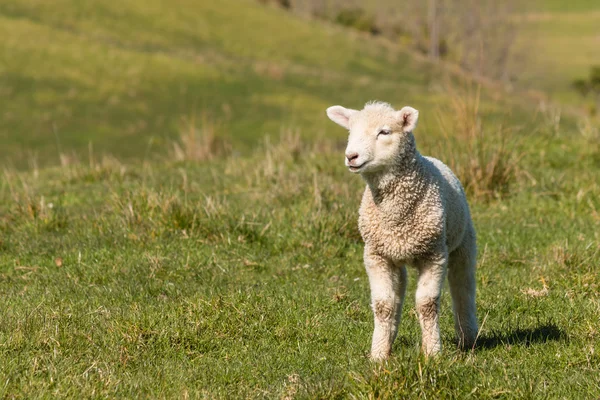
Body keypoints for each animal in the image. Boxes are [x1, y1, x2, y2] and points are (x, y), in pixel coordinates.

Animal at [326, 101, 480, 360]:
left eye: (384, 132)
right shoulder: (376, 256)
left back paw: (468, 337)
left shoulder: (434, 255)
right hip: (395, 258)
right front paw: (378, 354)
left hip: (463, 244)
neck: (395, 216)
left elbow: (427, 305)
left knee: (463, 287)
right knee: (397, 296)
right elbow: (383, 305)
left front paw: (432, 353)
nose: (351, 156)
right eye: (350, 132)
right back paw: (389, 339)